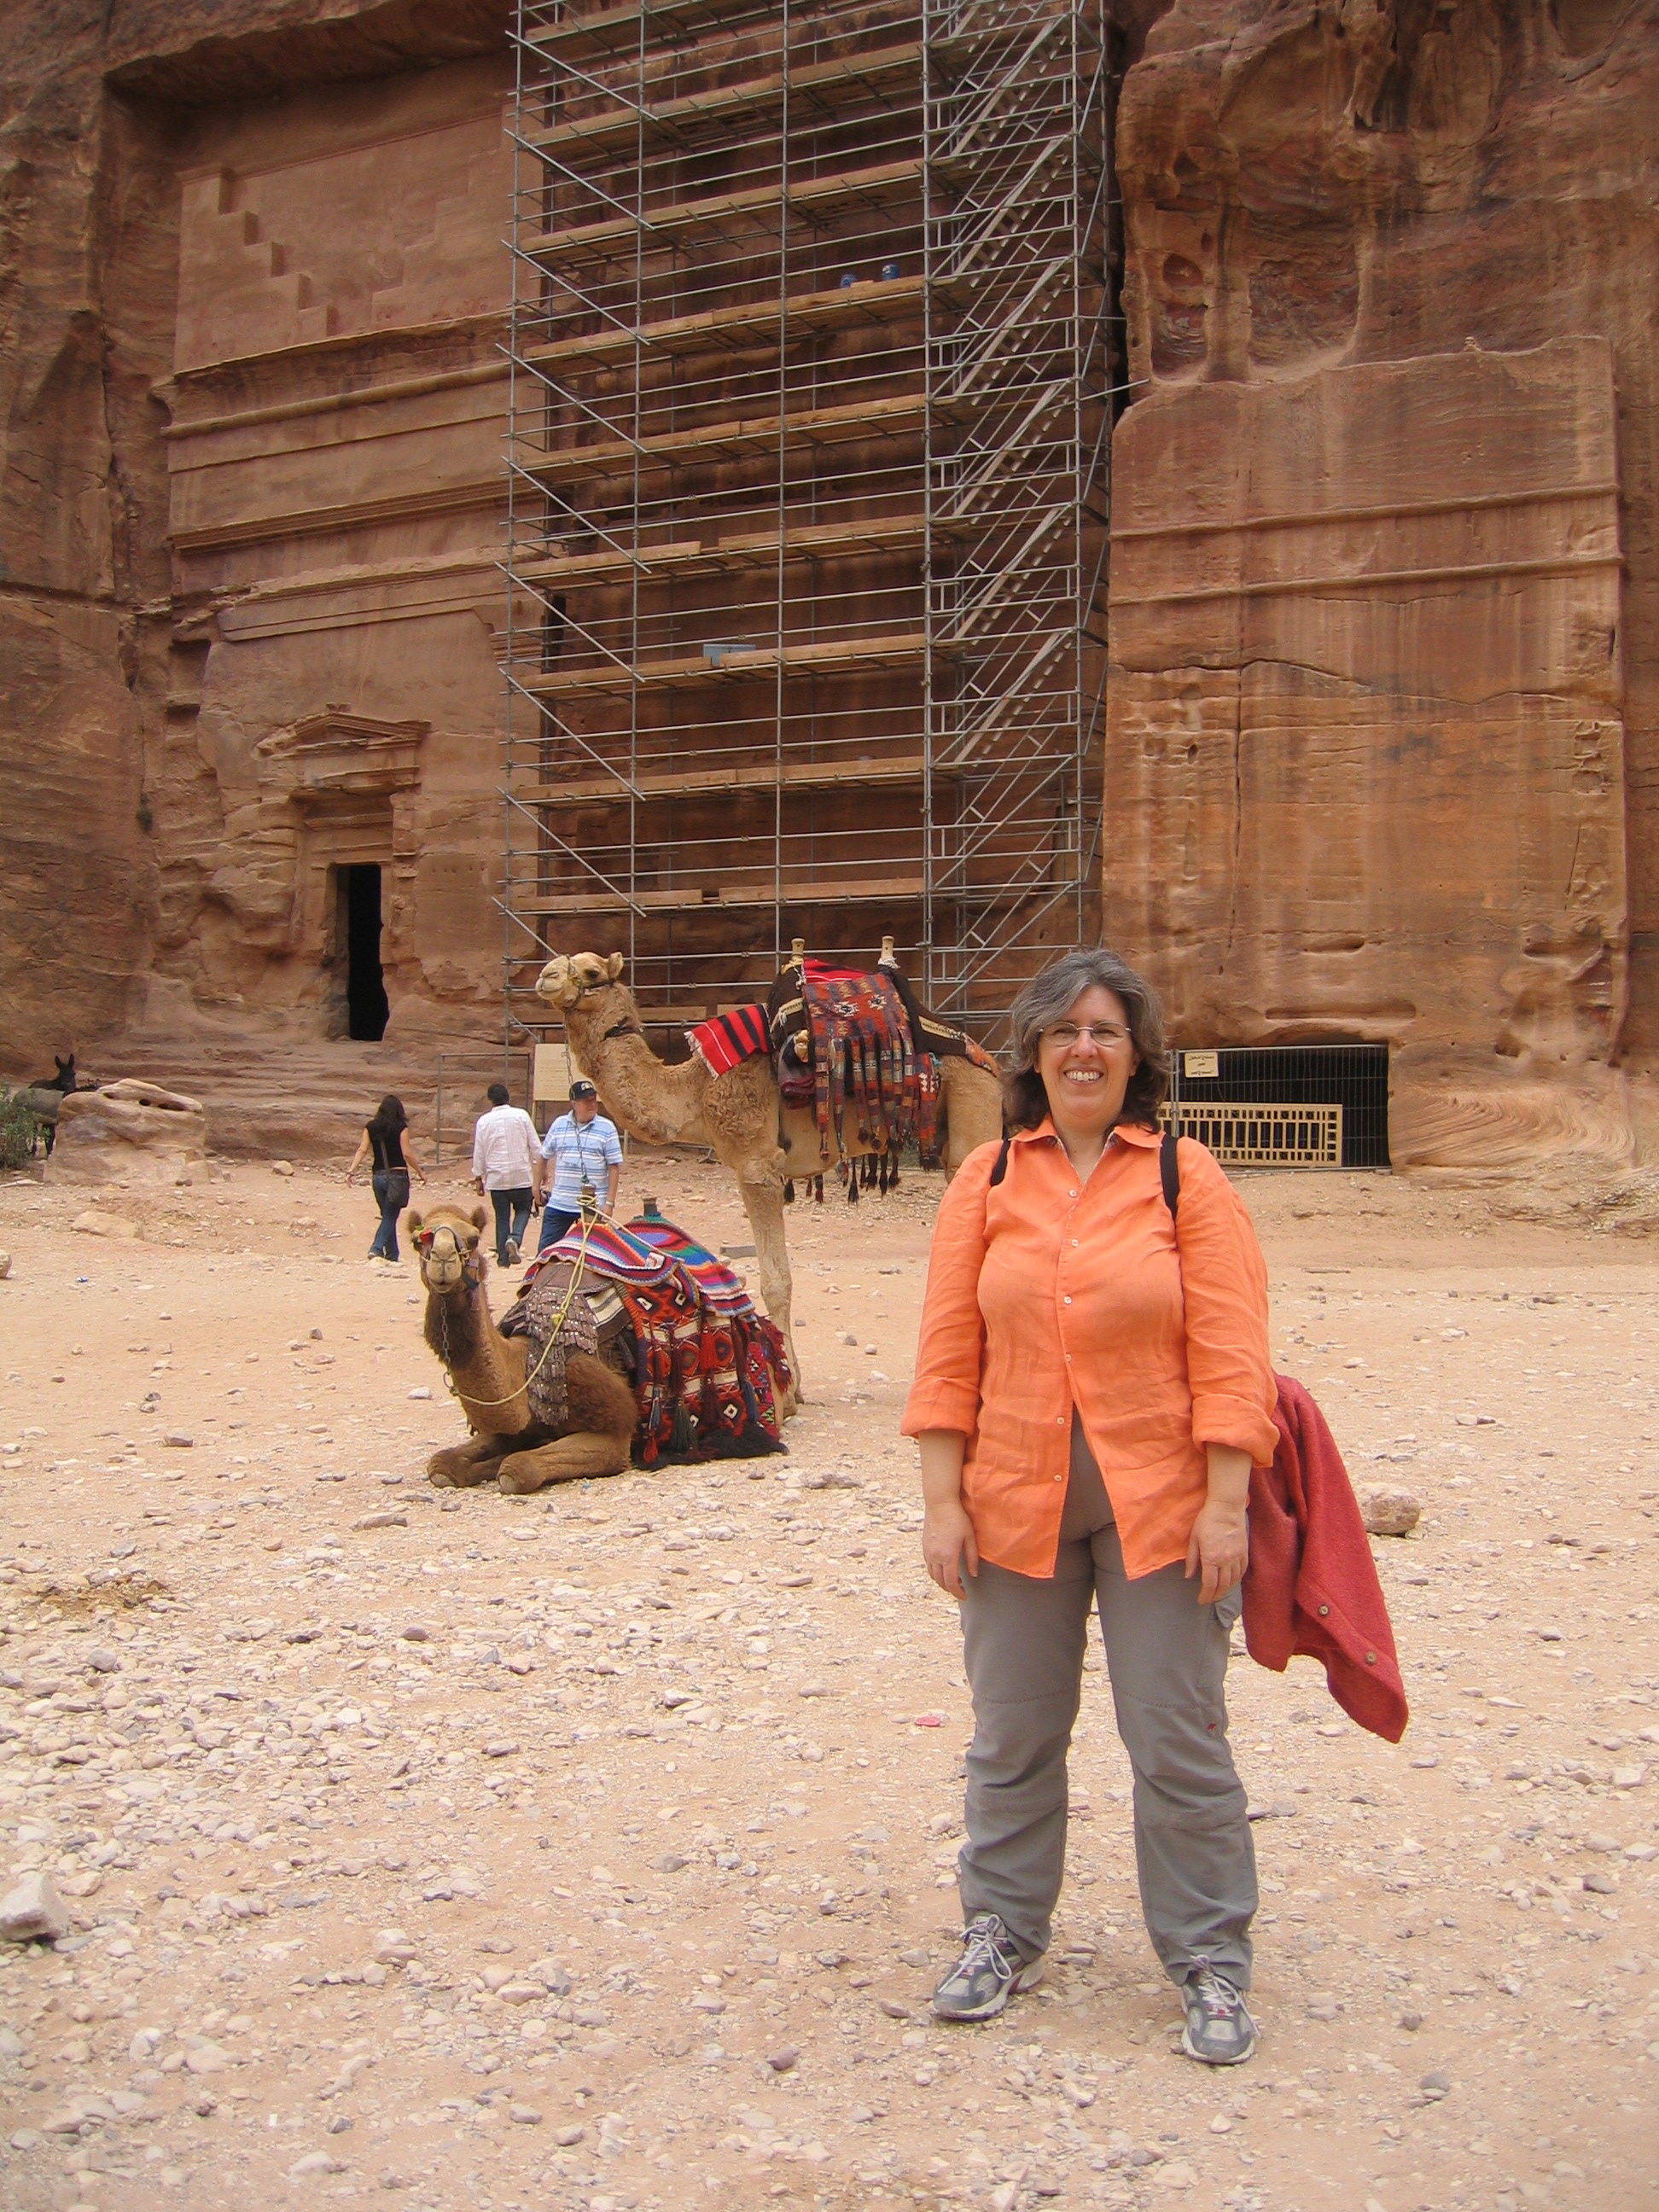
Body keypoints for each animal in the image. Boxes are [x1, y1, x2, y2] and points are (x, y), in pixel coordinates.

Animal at [408, 1203, 637, 1494]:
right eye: (417, 1241)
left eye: (473, 1239)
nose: (443, 1258)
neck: (525, 1361)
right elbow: (441, 1464)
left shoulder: (617, 1433)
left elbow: (517, 1467)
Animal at [533, 949, 1005, 1388]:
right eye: (560, 962)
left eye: (591, 971)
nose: (545, 977)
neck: (697, 1090)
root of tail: (990, 1062)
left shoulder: (756, 1164)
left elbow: (776, 1281)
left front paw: (789, 1383)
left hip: (971, 1112)